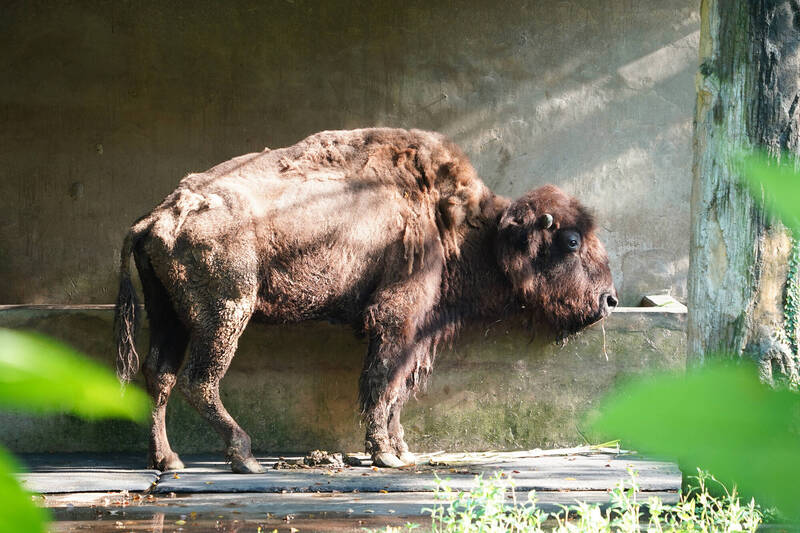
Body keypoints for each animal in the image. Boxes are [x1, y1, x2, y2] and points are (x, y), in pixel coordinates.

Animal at [112, 127, 616, 472]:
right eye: (571, 241)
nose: (610, 299)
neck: (459, 223)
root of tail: (160, 214)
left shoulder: (416, 332)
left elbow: (397, 389)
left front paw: (401, 448)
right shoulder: (396, 320)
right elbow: (383, 382)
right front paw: (384, 454)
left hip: (170, 316)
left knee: (159, 375)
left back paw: (168, 459)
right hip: (226, 313)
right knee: (199, 380)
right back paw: (244, 456)